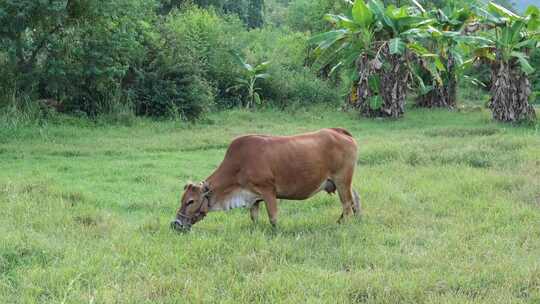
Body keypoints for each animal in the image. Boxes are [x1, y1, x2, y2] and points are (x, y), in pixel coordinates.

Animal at [171, 128, 360, 230]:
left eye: (190, 201)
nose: (175, 224)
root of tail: (338, 131)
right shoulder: (253, 197)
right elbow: (254, 217)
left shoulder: (268, 191)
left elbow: (273, 217)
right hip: (343, 182)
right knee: (355, 199)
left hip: (342, 179)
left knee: (346, 204)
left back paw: (343, 225)